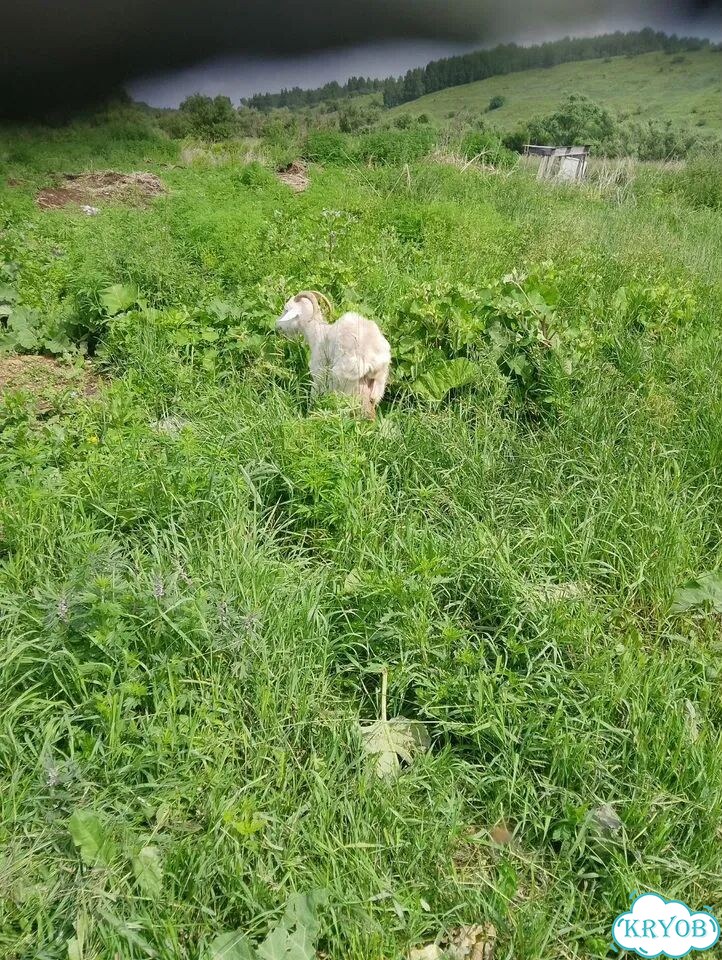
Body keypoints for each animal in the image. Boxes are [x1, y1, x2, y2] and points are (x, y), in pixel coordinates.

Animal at [276, 290, 391, 418]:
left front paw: (310, 412)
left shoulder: (318, 370)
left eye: (286, 309)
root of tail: (376, 361)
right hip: (378, 386)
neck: (318, 331)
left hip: (344, 382)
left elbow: (314, 394)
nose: (277, 326)